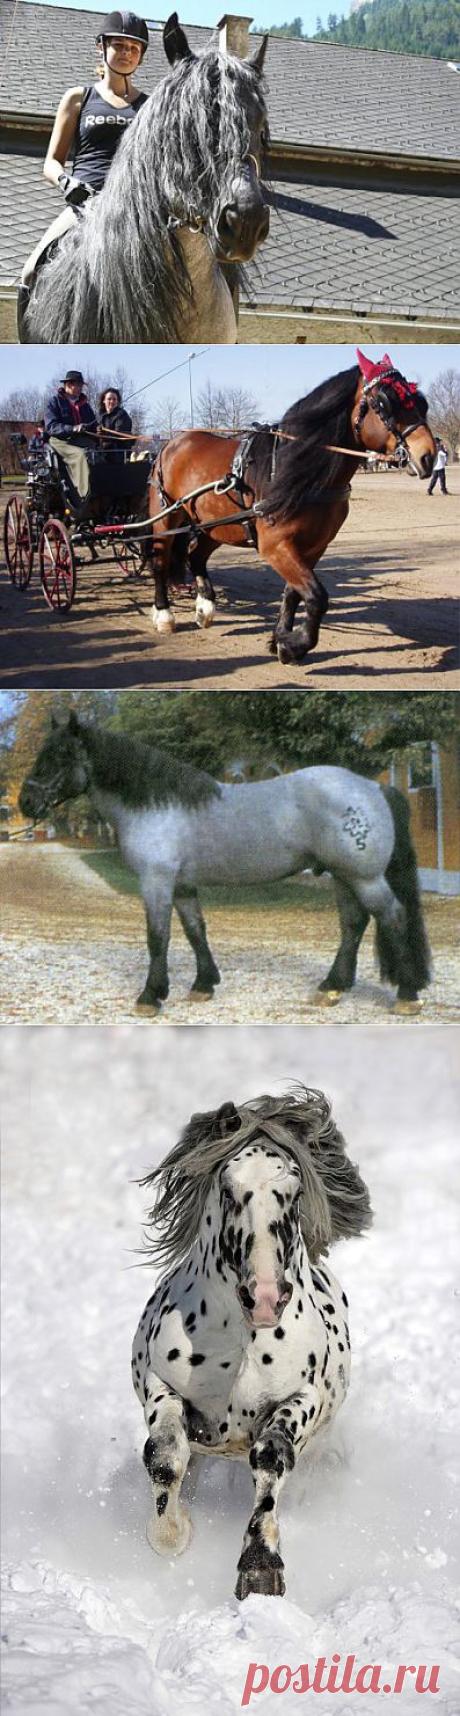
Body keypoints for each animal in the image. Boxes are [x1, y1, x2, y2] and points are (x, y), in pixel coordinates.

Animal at [19, 714, 431, 1015]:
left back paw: (407, 995)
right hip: (344, 877)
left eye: (59, 756)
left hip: (364, 877)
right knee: (353, 925)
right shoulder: (182, 885)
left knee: (393, 917)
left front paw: (150, 996)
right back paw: (332, 988)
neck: (156, 805)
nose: (25, 802)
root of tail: (373, 787)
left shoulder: (156, 882)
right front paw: (203, 984)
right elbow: (195, 930)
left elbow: (158, 937)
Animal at [132, 1088, 373, 1599]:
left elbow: (270, 1458)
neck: (240, 1348)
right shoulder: (161, 1385)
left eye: (293, 1194)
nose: (264, 1298)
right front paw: (172, 1533)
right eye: (228, 1189)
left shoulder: (300, 1398)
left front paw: (260, 1569)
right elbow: (165, 1454)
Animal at [146, 350, 437, 664]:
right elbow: (317, 596)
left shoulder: (313, 546)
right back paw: (164, 615)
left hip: (218, 526)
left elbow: (294, 593)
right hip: (166, 519)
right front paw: (295, 644)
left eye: (421, 402)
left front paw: (280, 639)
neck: (297, 471)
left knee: (196, 556)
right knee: (161, 562)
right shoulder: (276, 546)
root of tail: (172, 442)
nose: (428, 456)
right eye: (383, 403)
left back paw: (205, 608)